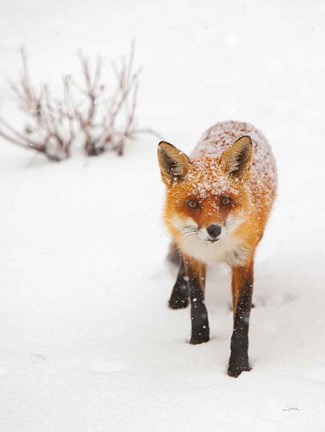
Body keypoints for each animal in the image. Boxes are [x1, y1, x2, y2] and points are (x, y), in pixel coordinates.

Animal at [157, 120, 276, 376]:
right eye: (192, 204)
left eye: (225, 201)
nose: (214, 230)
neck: (216, 251)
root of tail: (234, 120)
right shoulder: (195, 257)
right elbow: (197, 305)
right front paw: (198, 343)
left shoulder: (243, 260)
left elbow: (241, 319)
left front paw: (239, 366)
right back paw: (176, 297)